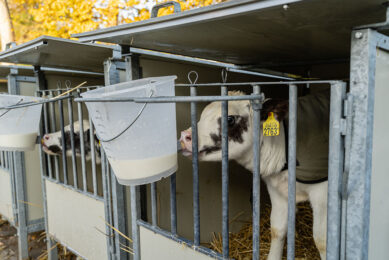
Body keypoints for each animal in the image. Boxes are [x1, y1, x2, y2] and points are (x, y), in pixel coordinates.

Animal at [180, 90, 328, 258]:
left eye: (229, 119)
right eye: (201, 115)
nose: (185, 136)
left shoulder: (322, 193)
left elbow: (322, 241)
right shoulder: (277, 190)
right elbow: (277, 229)